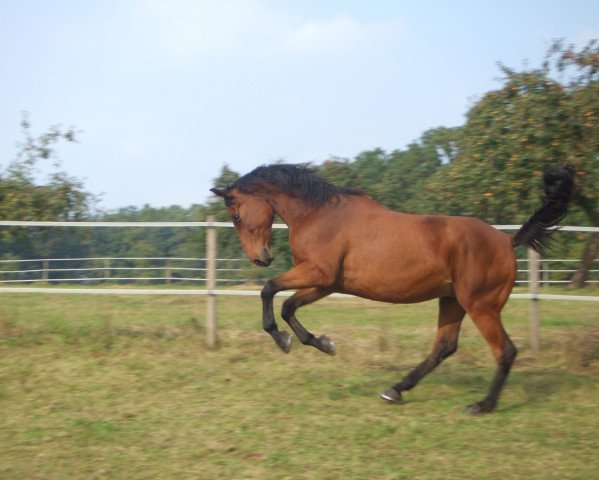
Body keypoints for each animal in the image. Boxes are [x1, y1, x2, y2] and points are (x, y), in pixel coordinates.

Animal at [211, 164, 572, 412]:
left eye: (236, 215)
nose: (260, 258)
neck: (319, 215)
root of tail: (507, 241)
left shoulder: (316, 272)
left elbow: (269, 291)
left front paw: (284, 340)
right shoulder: (327, 282)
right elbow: (288, 306)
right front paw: (322, 343)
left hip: (480, 305)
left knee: (504, 351)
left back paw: (482, 406)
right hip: (452, 301)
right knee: (444, 347)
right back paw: (395, 390)